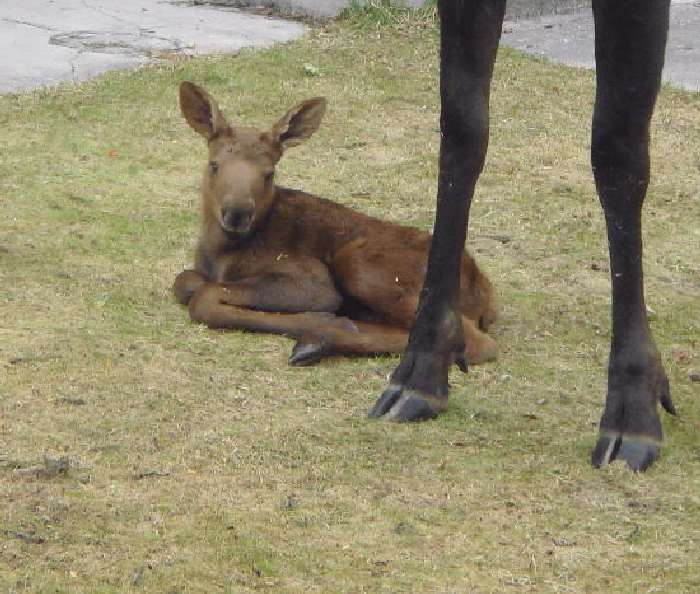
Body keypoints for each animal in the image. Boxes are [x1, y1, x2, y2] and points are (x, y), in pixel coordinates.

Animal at [174, 81, 498, 368]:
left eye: (269, 173)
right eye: (214, 165)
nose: (237, 213)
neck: (222, 251)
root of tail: (485, 296)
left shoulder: (312, 280)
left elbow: (204, 298)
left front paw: (316, 318)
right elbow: (185, 281)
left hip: (361, 265)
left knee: (474, 343)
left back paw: (320, 336)